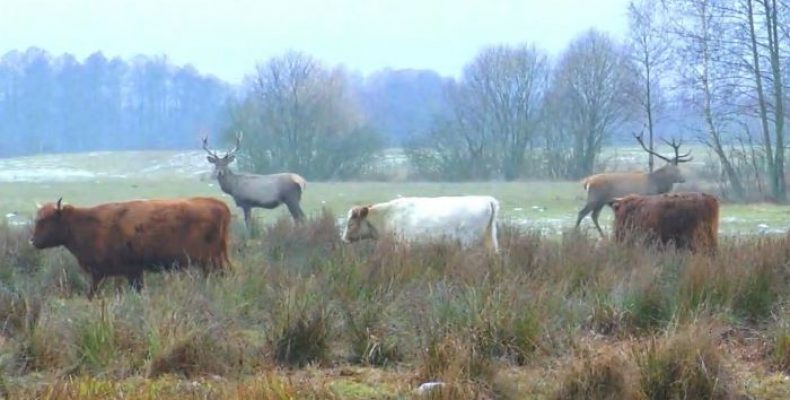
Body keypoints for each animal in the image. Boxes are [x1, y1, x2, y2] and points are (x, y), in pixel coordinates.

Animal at [31, 197, 235, 296]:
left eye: (46, 220)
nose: (32, 241)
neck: (85, 223)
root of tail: (219, 205)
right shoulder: (104, 274)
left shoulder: (131, 271)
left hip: (212, 261)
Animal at [342, 196, 502, 252]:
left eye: (351, 224)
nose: (344, 239)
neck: (388, 215)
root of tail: (487, 199)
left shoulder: (402, 244)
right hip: (490, 240)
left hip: (467, 241)